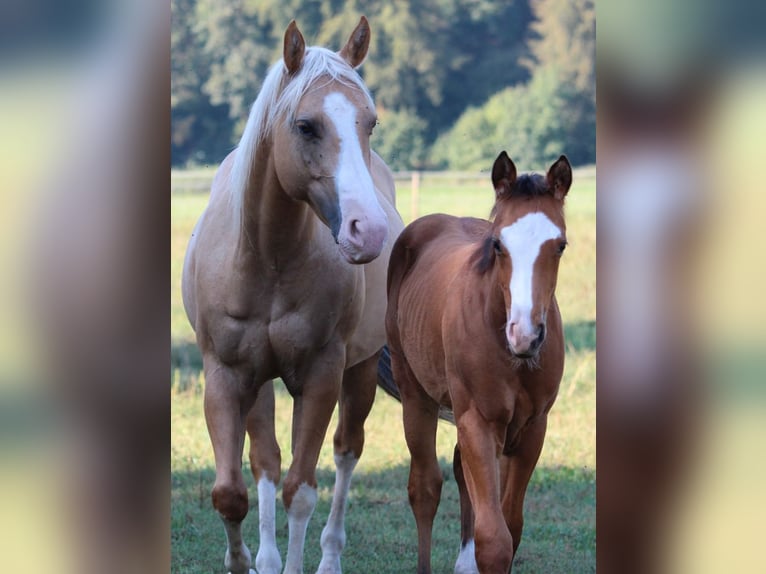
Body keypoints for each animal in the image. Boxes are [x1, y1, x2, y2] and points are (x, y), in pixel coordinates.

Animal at [182, 16, 404, 574]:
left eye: (370, 124)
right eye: (306, 126)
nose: (368, 231)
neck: (268, 258)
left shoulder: (322, 376)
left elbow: (301, 490)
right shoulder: (225, 375)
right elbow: (232, 491)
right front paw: (242, 561)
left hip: (358, 370)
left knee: (347, 452)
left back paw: (329, 557)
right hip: (259, 382)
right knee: (264, 461)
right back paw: (265, 557)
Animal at [388, 151, 572, 572]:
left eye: (560, 245)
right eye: (498, 244)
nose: (525, 334)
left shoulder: (532, 427)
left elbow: (512, 526)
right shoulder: (478, 421)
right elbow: (494, 539)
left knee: (459, 472)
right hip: (415, 397)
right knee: (424, 488)